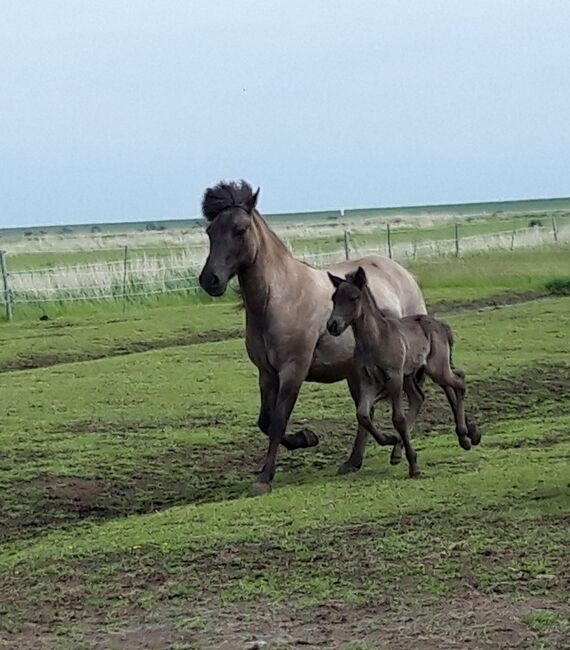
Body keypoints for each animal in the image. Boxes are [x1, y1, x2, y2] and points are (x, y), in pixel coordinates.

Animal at [200, 180, 426, 494]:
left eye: (240, 230)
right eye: (210, 231)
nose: (210, 280)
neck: (278, 299)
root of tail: (403, 274)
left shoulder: (292, 371)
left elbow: (278, 421)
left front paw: (264, 478)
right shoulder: (266, 373)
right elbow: (265, 421)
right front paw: (306, 438)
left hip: (399, 367)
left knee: (409, 401)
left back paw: (395, 450)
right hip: (358, 373)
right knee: (365, 412)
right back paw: (356, 460)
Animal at [324, 264, 480, 476]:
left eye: (354, 297)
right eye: (334, 298)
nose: (333, 325)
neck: (375, 339)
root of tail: (441, 325)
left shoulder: (394, 377)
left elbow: (398, 419)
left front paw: (413, 466)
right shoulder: (369, 381)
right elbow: (363, 414)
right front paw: (390, 440)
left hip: (435, 369)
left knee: (459, 382)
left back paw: (464, 437)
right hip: (414, 374)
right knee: (421, 396)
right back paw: (400, 450)